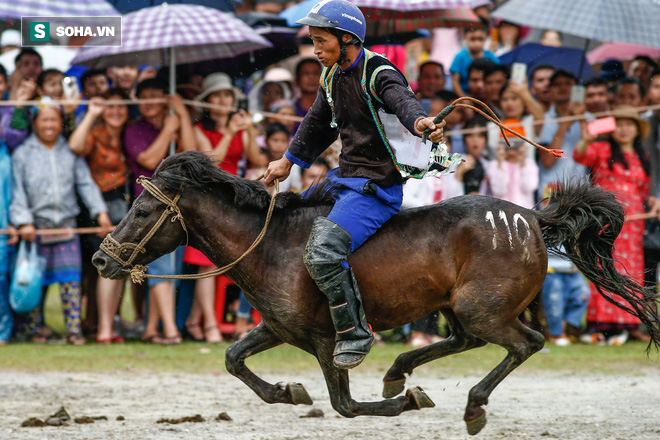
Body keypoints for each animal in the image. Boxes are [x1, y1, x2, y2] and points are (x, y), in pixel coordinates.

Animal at [93, 153, 660, 434]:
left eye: (142, 211)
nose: (100, 260)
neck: (272, 244)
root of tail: (531, 219)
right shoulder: (280, 328)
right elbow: (234, 359)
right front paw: (288, 392)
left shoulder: (327, 341)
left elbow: (344, 406)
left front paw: (408, 402)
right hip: (462, 308)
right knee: (468, 340)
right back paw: (398, 371)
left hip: (483, 308)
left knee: (524, 343)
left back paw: (469, 405)